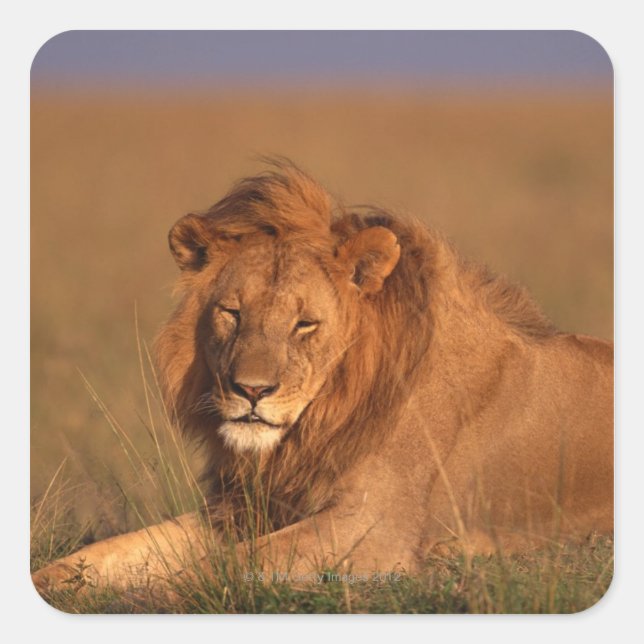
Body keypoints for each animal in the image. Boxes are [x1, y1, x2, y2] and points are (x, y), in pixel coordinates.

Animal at [32, 161, 613, 596]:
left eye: (304, 324)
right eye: (232, 313)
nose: (251, 391)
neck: (319, 422)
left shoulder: (374, 530)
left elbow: (217, 569)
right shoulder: (243, 509)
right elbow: (111, 552)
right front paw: (51, 582)